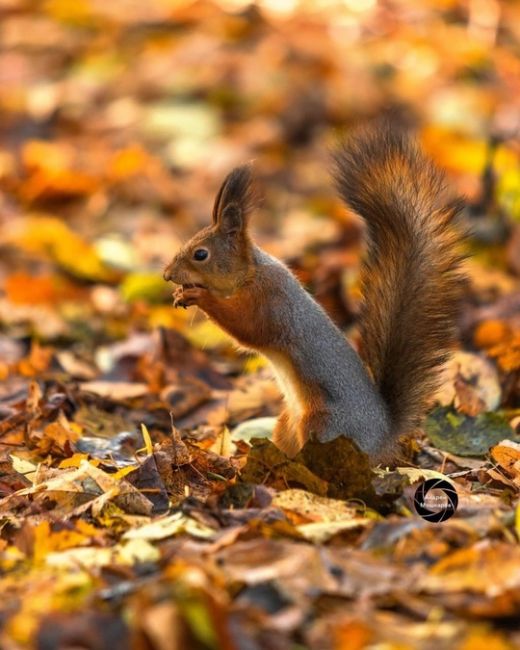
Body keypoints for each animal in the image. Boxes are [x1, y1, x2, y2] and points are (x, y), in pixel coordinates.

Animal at [162, 125, 464, 460]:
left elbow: (249, 329)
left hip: (323, 427)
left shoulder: (272, 300)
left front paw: (197, 296)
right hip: (288, 421)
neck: (251, 274)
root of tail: (383, 439)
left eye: (200, 254)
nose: (167, 275)